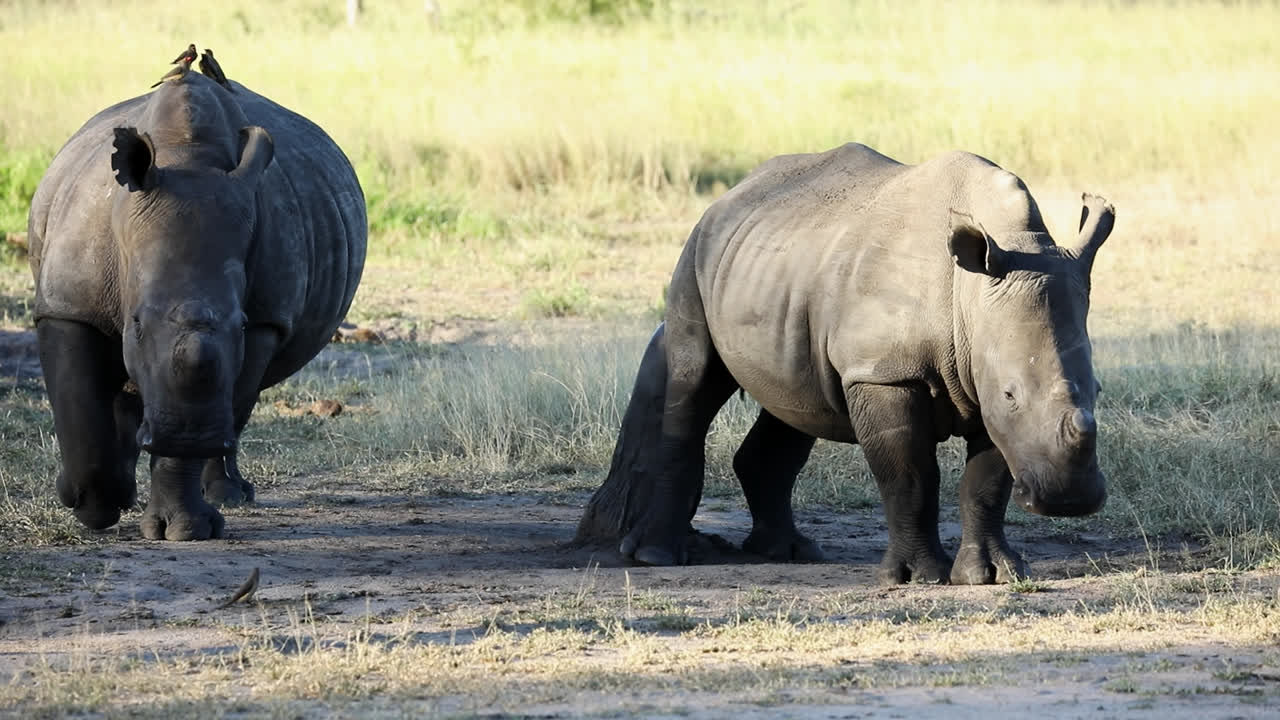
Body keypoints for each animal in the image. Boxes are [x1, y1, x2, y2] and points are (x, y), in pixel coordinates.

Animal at [27, 71, 366, 540]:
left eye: (240, 324)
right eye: (136, 324)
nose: (192, 436)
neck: (184, 157)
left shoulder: (263, 319)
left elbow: (207, 383)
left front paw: (185, 529)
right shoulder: (67, 305)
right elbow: (79, 407)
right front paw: (92, 506)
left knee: (233, 402)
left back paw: (227, 495)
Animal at [578, 143, 1115, 584]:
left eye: (1097, 391)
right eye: (1011, 393)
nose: (1069, 500)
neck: (971, 296)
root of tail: (734, 192)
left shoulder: (983, 376)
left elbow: (987, 481)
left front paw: (993, 575)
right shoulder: (882, 372)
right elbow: (909, 474)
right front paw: (917, 578)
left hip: (780, 268)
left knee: (793, 404)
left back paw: (790, 552)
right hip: (694, 252)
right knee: (693, 382)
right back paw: (659, 557)